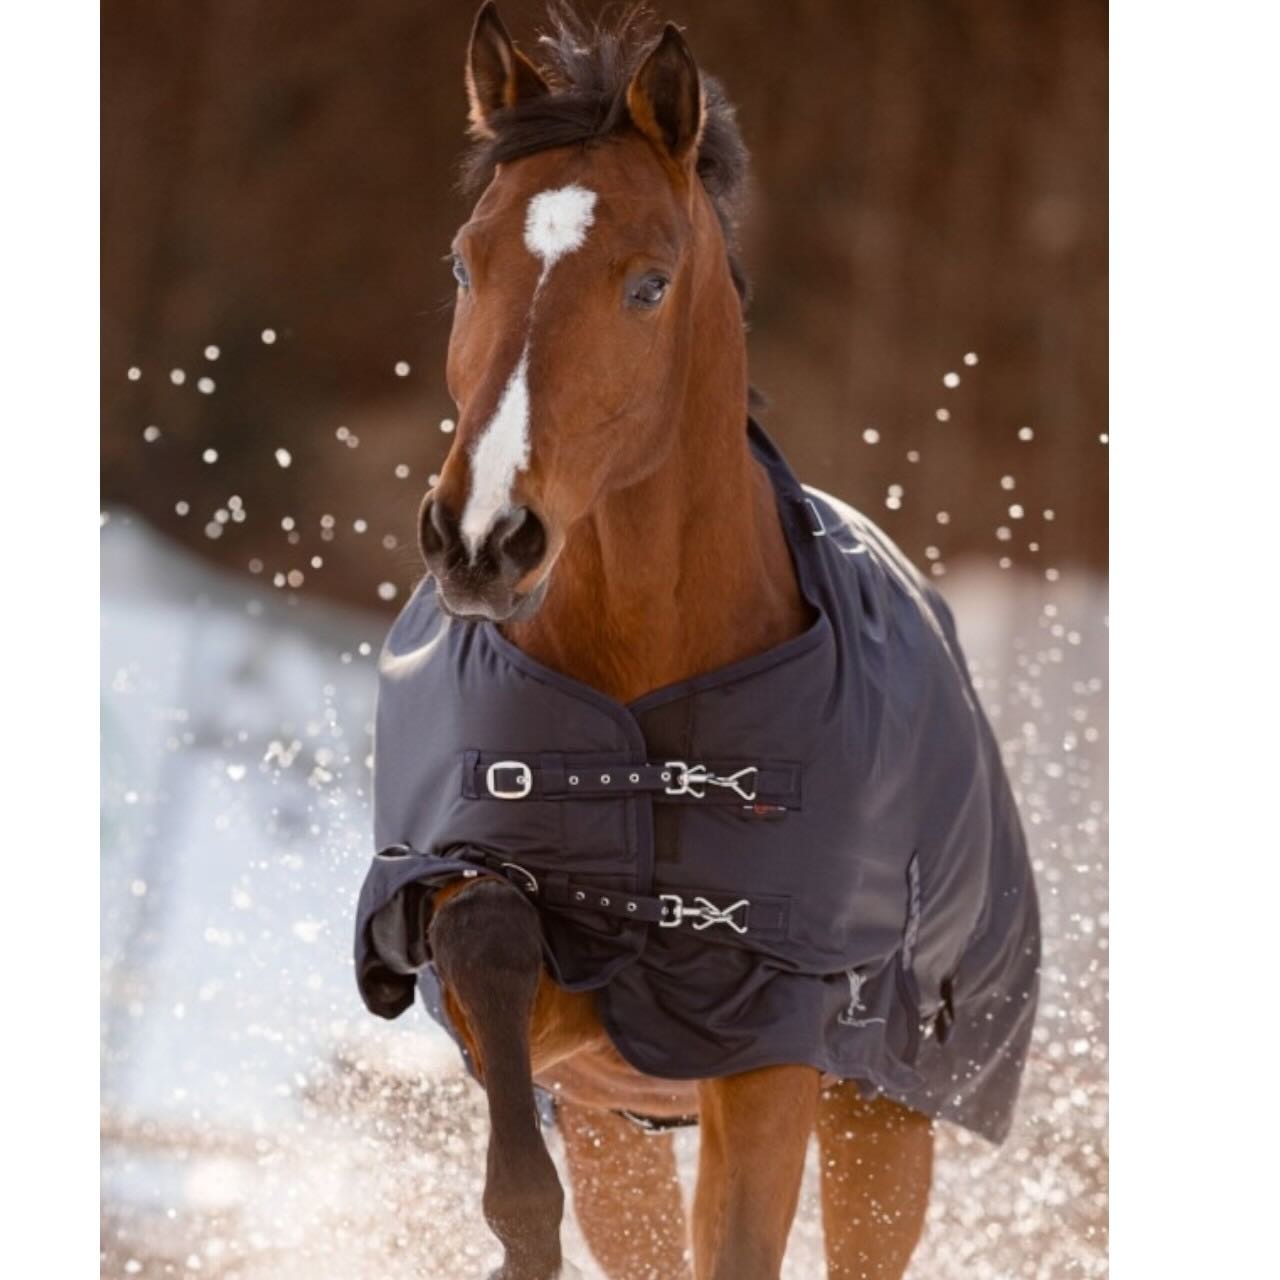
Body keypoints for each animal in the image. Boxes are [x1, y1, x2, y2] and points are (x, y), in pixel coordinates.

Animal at [357, 6, 1036, 1277]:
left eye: (649, 284)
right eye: (464, 262)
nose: (481, 539)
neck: (641, 667)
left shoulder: (768, 1033)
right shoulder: (566, 1024)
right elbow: (485, 929)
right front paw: (516, 1228)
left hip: (883, 1125)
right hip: (629, 1134)